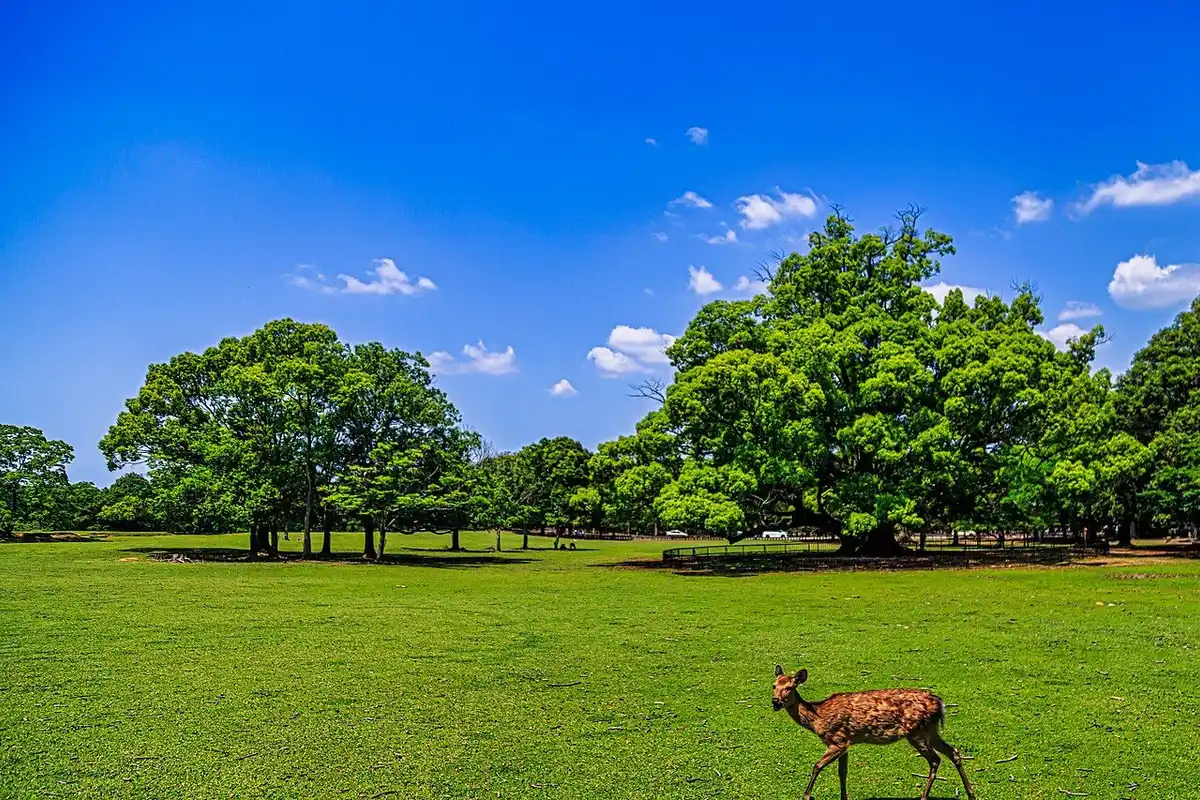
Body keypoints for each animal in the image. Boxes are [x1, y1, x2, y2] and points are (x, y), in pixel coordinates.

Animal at [771, 664, 976, 800]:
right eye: (774, 685)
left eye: (790, 687)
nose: (775, 701)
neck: (818, 718)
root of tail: (940, 704)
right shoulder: (847, 743)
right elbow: (842, 772)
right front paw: (844, 797)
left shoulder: (837, 740)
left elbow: (817, 766)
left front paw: (806, 796)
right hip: (931, 731)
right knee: (953, 752)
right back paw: (971, 793)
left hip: (916, 732)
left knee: (935, 760)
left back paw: (923, 797)